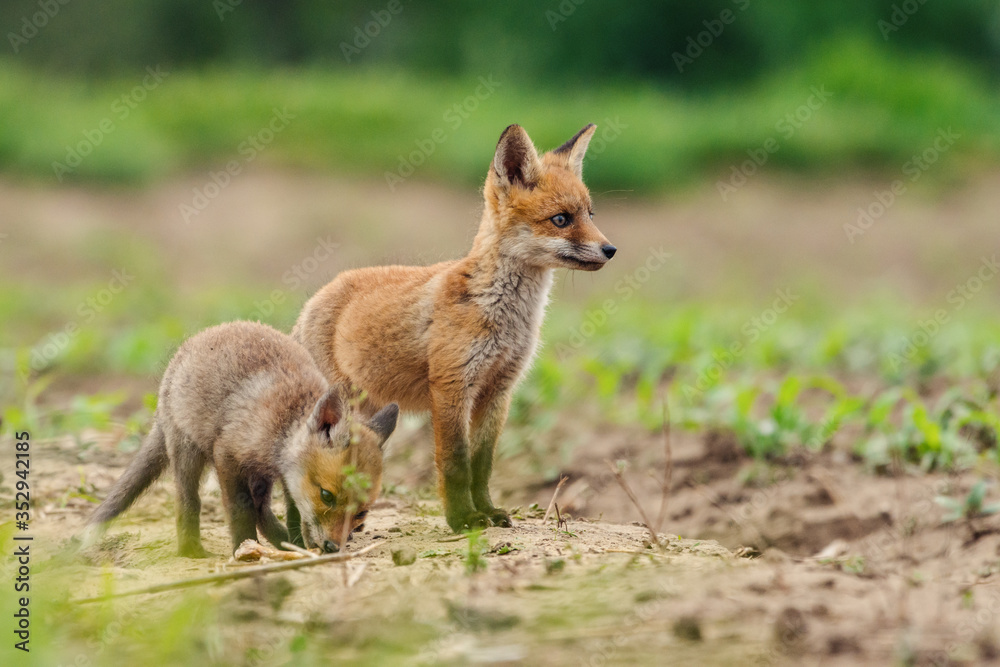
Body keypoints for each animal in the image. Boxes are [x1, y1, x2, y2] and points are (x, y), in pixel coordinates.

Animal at [292, 124, 612, 532]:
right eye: (561, 219)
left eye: (590, 214)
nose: (610, 249)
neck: (505, 316)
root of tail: (315, 297)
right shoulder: (450, 386)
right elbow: (455, 462)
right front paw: (463, 519)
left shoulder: (499, 391)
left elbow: (482, 463)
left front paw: (488, 511)